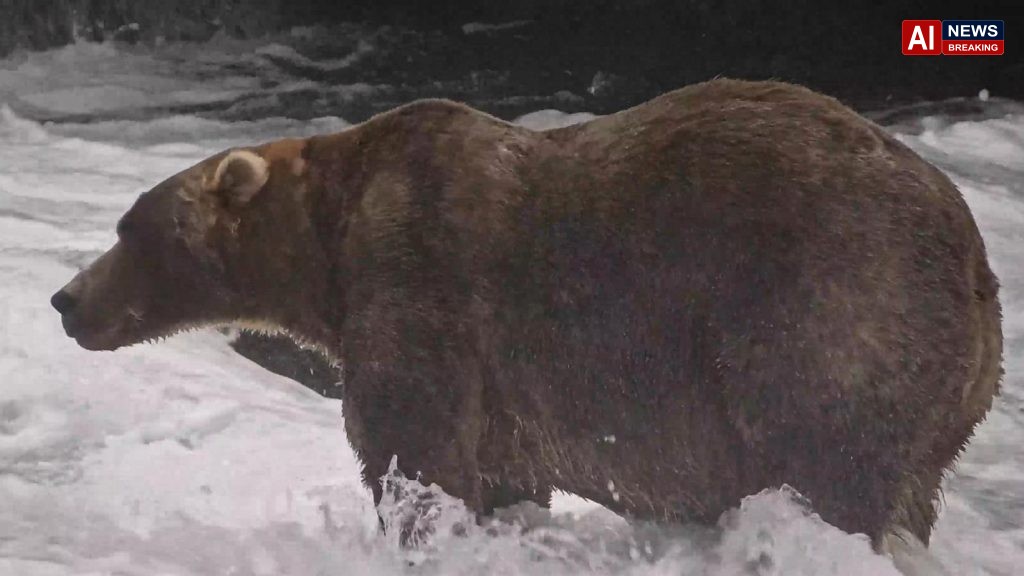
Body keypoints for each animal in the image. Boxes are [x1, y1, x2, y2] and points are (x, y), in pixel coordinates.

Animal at [51, 79, 1002, 549]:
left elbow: (412, 448)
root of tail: (973, 253)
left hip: (826, 306)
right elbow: (502, 474)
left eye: (129, 228)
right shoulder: (505, 390)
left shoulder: (420, 279)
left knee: (827, 458)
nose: (66, 300)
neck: (327, 245)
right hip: (949, 394)